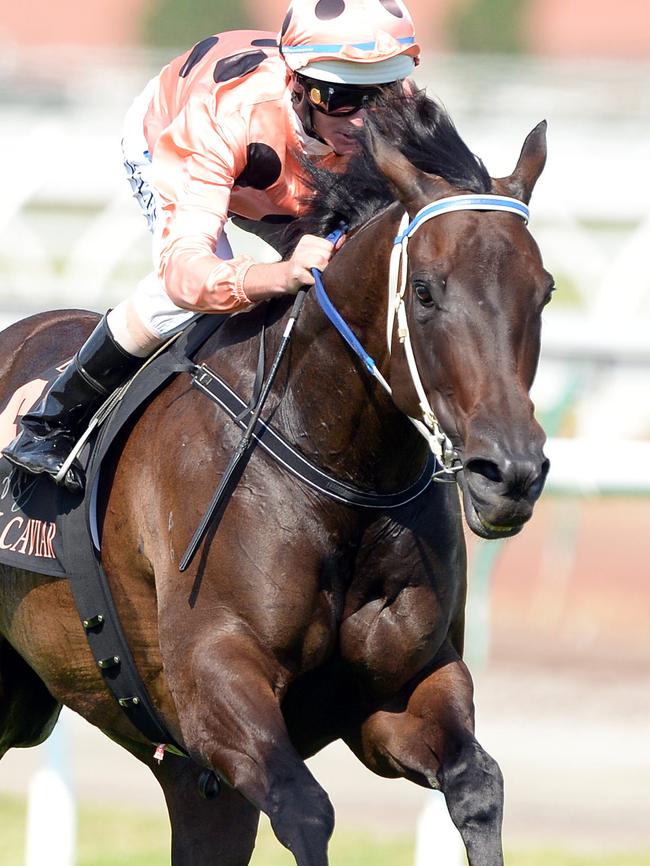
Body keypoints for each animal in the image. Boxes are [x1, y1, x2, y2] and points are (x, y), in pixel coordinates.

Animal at [0, 91, 552, 860]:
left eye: (544, 292)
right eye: (425, 290)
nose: (509, 472)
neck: (342, 468)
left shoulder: (397, 692)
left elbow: (478, 782)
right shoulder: (213, 683)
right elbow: (304, 808)